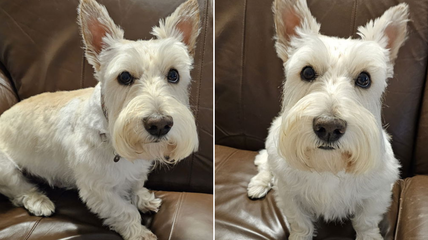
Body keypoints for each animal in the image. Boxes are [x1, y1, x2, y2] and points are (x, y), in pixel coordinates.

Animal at [0, 0, 200, 239]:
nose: (160, 124)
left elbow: (136, 186)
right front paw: (139, 232)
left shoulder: (136, 171)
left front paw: (144, 200)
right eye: (124, 77)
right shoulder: (98, 190)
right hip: (5, 168)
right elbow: (126, 211)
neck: (109, 130)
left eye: (173, 75)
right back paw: (39, 201)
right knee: (19, 189)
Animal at [247, 0, 408, 240]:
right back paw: (258, 184)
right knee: (265, 164)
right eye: (307, 72)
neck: (328, 165)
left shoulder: (377, 192)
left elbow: (366, 221)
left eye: (364, 79)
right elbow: (300, 222)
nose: (329, 128)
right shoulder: (288, 193)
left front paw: (369, 235)